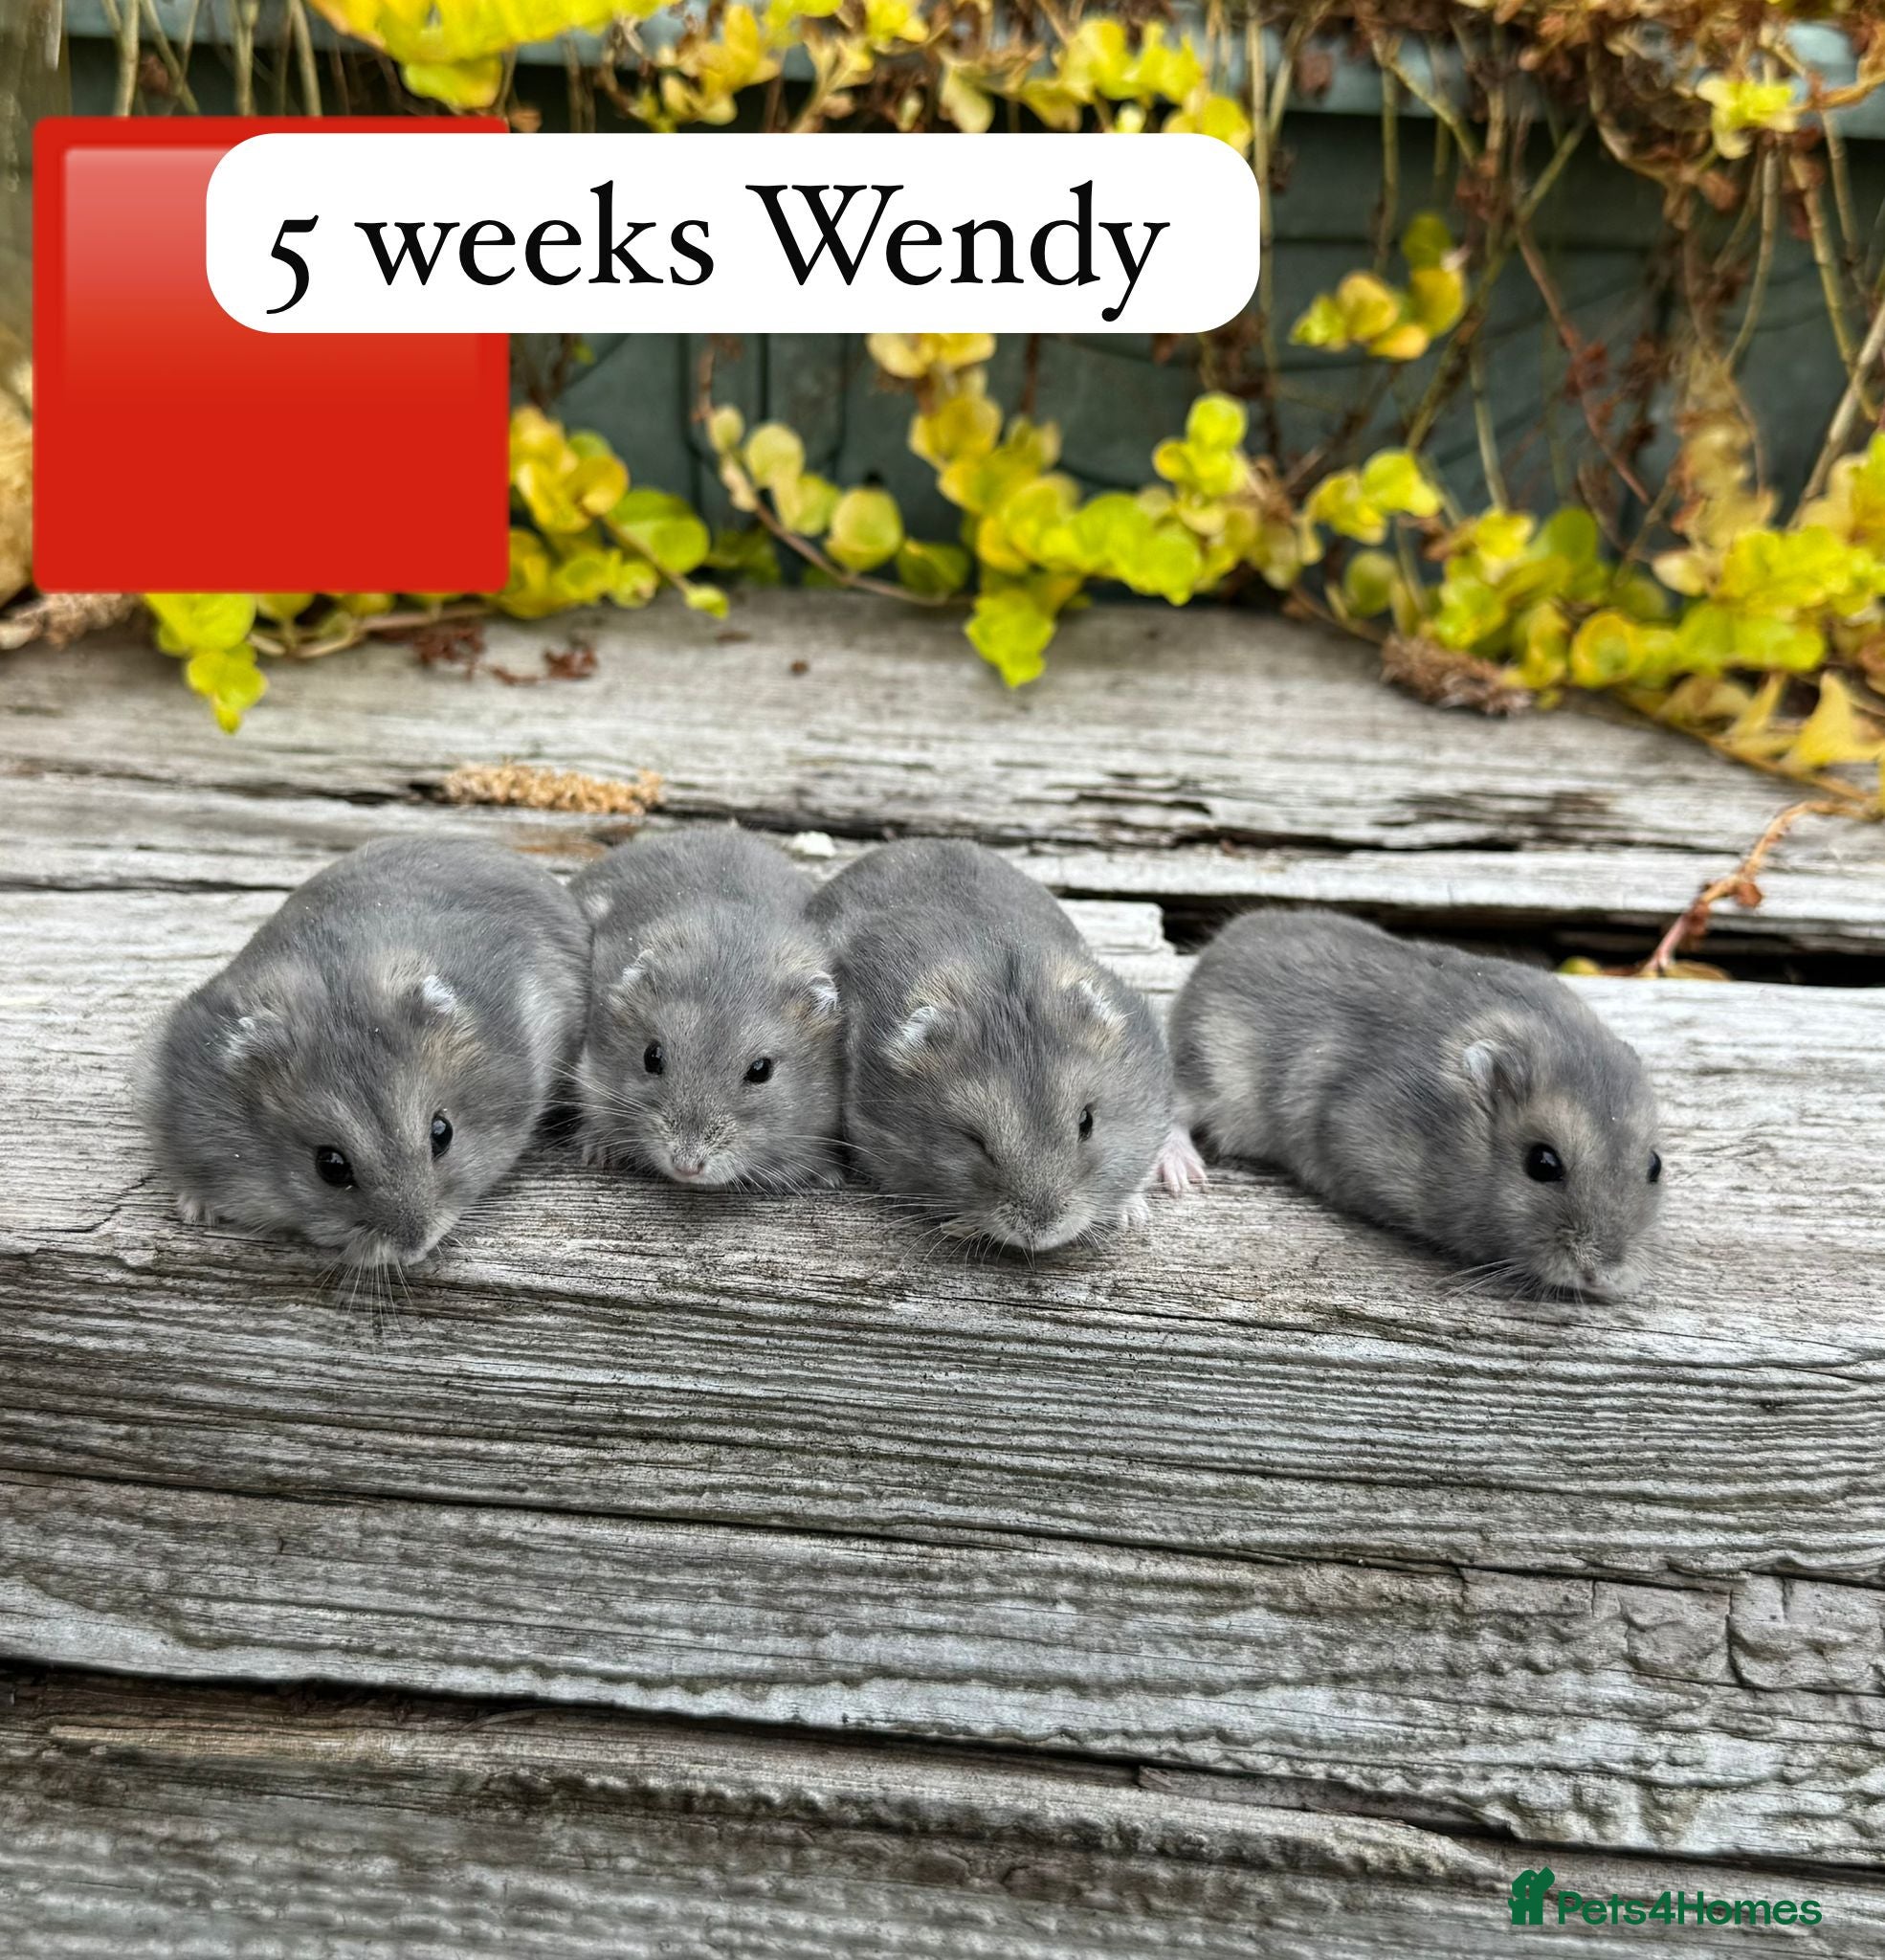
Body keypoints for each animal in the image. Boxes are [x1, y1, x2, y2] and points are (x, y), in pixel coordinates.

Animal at [809, 839, 1197, 1253]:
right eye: (973, 1140)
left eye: (1087, 1122)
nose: (1039, 1234)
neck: (999, 984)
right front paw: (960, 1226)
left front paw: (1132, 1214)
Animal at [1170, 908, 1664, 1299]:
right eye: (1542, 1163)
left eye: (1655, 1166)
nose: (1605, 1277)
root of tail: (1212, 953)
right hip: (1208, 1065)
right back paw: (1182, 1175)